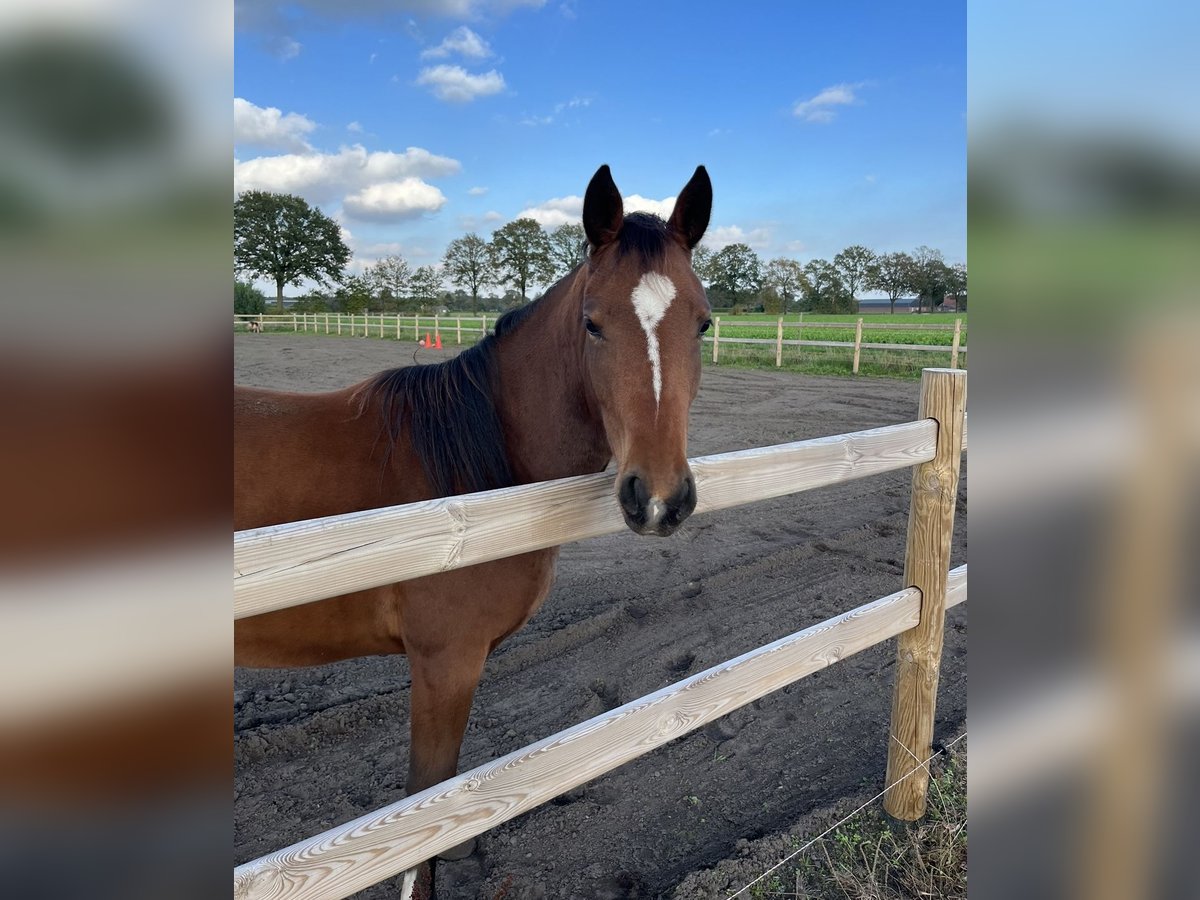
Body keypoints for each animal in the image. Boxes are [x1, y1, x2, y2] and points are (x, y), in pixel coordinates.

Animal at [234, 162, 710, 873]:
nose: (657, 498)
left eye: (703, 324)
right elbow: (425, 810)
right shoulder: (445, 662)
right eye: (593, 324)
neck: (472, 476)